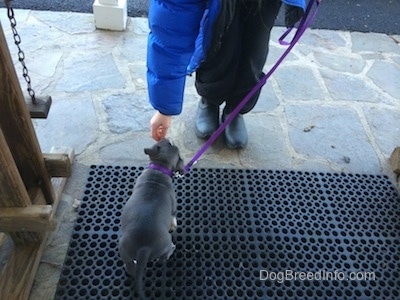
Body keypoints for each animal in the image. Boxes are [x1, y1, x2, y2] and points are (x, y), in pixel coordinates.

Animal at [119, 138, 184, 298]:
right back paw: (170, 251)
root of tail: (144, 247)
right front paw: (174, 225)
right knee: (165, 255)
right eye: (179, 156)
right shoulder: (173, 207)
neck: (158, 168)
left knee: (130, 267)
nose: (168, 138)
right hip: (165, 244)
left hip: (124, 249)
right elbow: (173, 217)